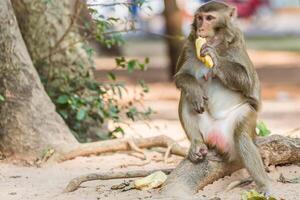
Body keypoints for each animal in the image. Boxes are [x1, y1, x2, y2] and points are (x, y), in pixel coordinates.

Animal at [175, 0, 270, 195]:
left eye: (210, 18)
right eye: (199, 18)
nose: (201, 28)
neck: (216, 42)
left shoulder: (237, 43)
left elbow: (249, 83)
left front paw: (215, 57)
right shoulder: (189, 45)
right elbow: (180, 77)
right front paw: (195, 89)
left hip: (240, 121)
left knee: (242, 137)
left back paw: (263, 184)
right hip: (206, 133)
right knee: (187, 98)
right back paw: (196, 144)